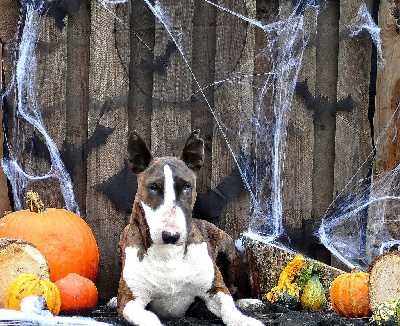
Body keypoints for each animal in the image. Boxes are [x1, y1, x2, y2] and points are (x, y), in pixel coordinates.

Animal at [117, 130, 264, 326]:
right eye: (153, 187)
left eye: (187, 186)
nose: (171, 236)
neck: (168, 254)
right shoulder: (129, 301)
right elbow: (148, 317)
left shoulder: (215, 288)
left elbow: (228, 306)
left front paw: (244, 320)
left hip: (229, 250)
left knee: (233, 289)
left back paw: (248, 302)